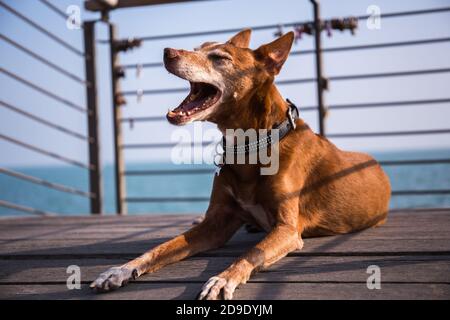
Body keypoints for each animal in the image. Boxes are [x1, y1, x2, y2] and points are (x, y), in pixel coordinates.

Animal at [90, 28, 390, 298]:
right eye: (197, 48)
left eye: (219, 58)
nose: (167, 51)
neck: (249, 146)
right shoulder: (215, 224)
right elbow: (161, 248)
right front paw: (121, 269)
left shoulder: (287, 229)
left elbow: (251, 253)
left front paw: (222, 279)